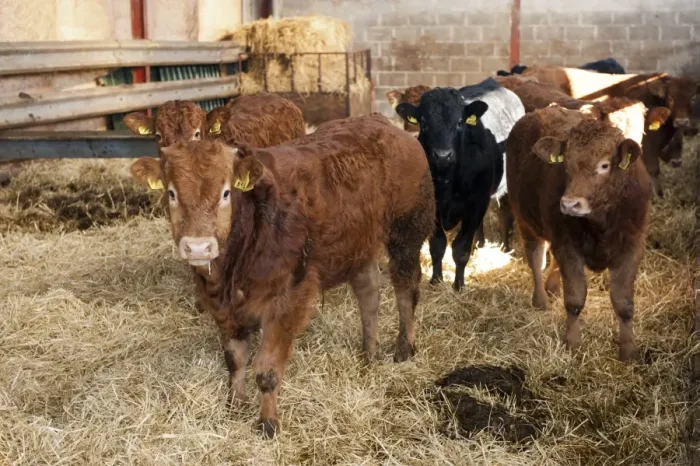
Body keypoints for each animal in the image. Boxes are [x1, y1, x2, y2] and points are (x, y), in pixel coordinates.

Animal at [128, 114, 435, 438]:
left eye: (226, 192)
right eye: (171, 193)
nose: (198, 246)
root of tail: (385, 124)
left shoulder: (287, 300)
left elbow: (266, 367)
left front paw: (267, 423)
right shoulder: (224, 309)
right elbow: (235, 359)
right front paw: (234, 404)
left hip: (407, 232)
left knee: (406, 289)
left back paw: (404, 348)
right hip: (357, 245)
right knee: (369, 295)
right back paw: (369, 353)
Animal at [394, 80, 524, 290]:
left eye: (459, 123)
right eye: (424, 122)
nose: (442, 155)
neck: (447, 179)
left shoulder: (475, 205)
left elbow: (461, 248)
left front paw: (459, 285)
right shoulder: (434, 206)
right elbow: (438, 245)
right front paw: (436, 280)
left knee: (505, 214)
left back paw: (505, 247)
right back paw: (480, 245)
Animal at [507, 105, 651, 361]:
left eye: (604, 165)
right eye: (566, 165)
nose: (569, 204)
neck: (600, 222)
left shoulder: (632, 246)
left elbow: (624, 303)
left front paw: (629, 350)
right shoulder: (567, 247)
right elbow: (574, 298)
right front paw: (572, 342)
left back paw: (552, 288)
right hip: (525, 219)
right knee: (536, 258)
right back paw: (541, 299)